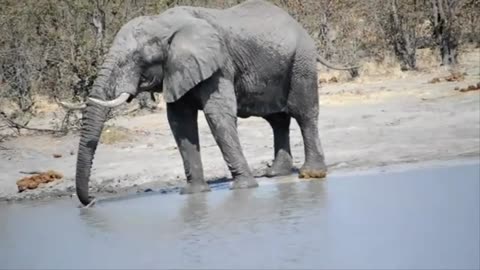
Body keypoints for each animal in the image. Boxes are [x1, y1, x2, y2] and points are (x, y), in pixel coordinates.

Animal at [71, 0, 356, 207]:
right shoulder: (177, 69)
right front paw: (193, 193)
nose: (91, 202)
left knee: (304, 114)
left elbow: (217, 115)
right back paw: (276, 174)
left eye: (132, 59)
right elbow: (180, 123)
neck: (163, 23)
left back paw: (310, 175)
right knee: (277, 119)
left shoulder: (218, 65)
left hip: (301, 62)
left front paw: (243, 188)